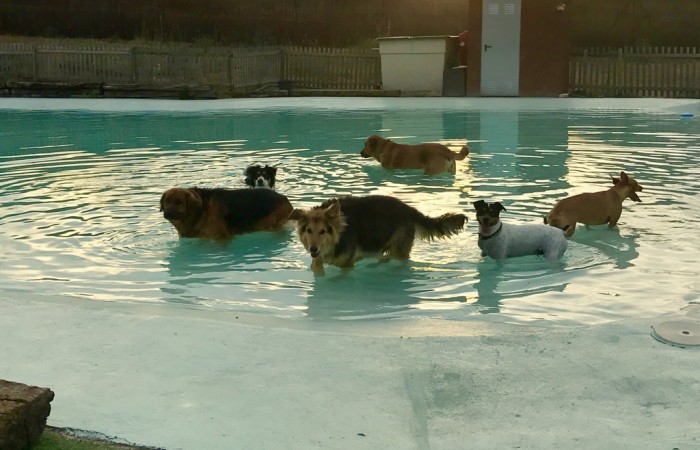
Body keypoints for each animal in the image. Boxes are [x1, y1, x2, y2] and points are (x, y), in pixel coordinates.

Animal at [288, 195, 468, 276]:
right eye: (309, 231)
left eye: (323, 231)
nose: (313, 249)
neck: (338, 235)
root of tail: (409, 209)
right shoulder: (318, 260)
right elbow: (317, 267)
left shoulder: (347, 265)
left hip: (398, 249)